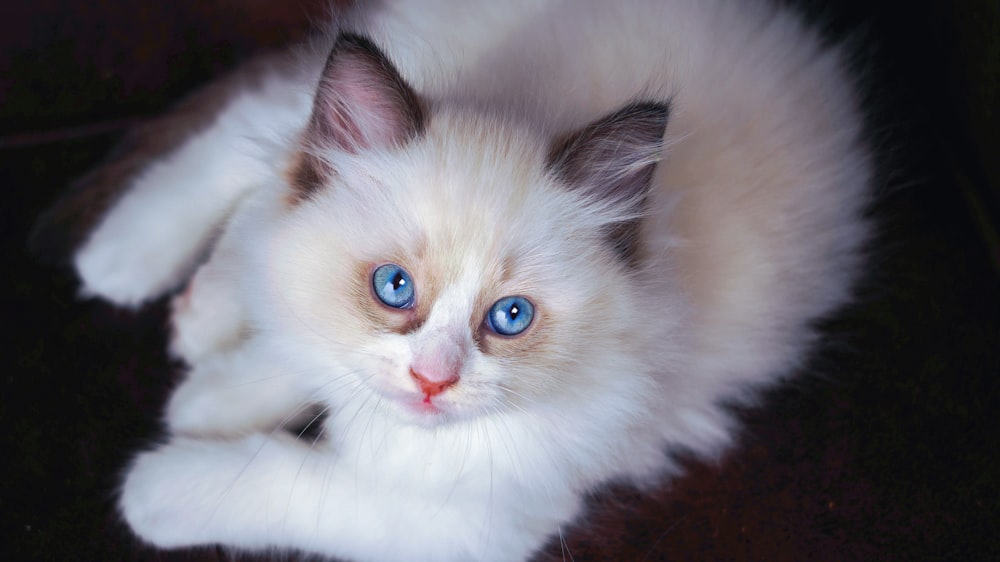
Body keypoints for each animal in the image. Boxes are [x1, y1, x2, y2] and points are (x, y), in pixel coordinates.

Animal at [35, 0, 872, 556]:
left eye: (510, 318)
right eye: (394, 289)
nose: (433, 382)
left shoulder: (461, 518)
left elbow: (278, 472)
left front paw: (168, 465)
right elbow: (301, 345)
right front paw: (204, 402)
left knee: (265, 185)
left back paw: (192, 313)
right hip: (405, 46)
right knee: (250, 142)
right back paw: (122, 261)